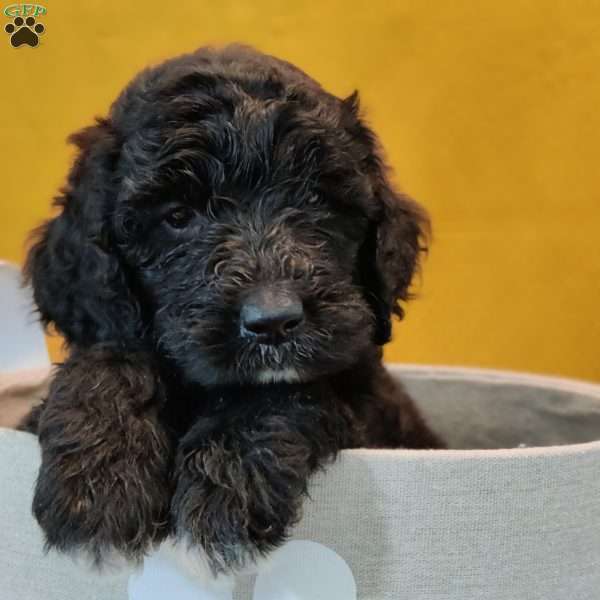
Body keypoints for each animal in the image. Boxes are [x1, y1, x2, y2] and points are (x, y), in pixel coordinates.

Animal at [23, 44, 442, 580]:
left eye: (315, 199)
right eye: (178, 217)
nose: (274, 321)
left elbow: (289, 391)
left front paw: (227, 487)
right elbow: (110, 353)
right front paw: (98, 480)